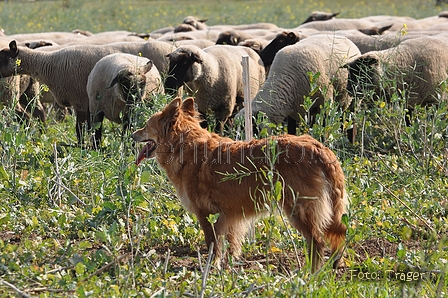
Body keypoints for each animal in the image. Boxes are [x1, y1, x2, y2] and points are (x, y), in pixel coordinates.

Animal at [131, 98, 348, 272]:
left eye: (146, 126)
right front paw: (229, 267)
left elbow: (212, 244)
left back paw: (310, 273)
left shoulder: (205, 213)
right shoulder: (230, 217)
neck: (186, 146)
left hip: (298, 209)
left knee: (317, 242)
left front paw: (211, 267)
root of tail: (319, 149)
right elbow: (231, 245)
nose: (133, 134)